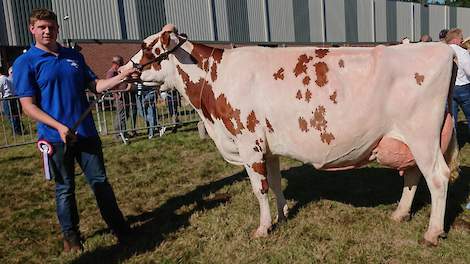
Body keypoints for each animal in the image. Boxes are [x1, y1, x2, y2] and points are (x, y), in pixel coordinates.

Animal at [122, 25, 458, 246]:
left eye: (146, 45)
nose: (126, 71)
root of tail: (443, 50)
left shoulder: (249, 143)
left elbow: (259, 189)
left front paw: (262, 228)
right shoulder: (267, 146)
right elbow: (274, 183)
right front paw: (282, 216)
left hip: (423, 135)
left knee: (437, 177)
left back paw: (432, 233)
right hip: (406, 139)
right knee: (412, 173)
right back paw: (400, 214)